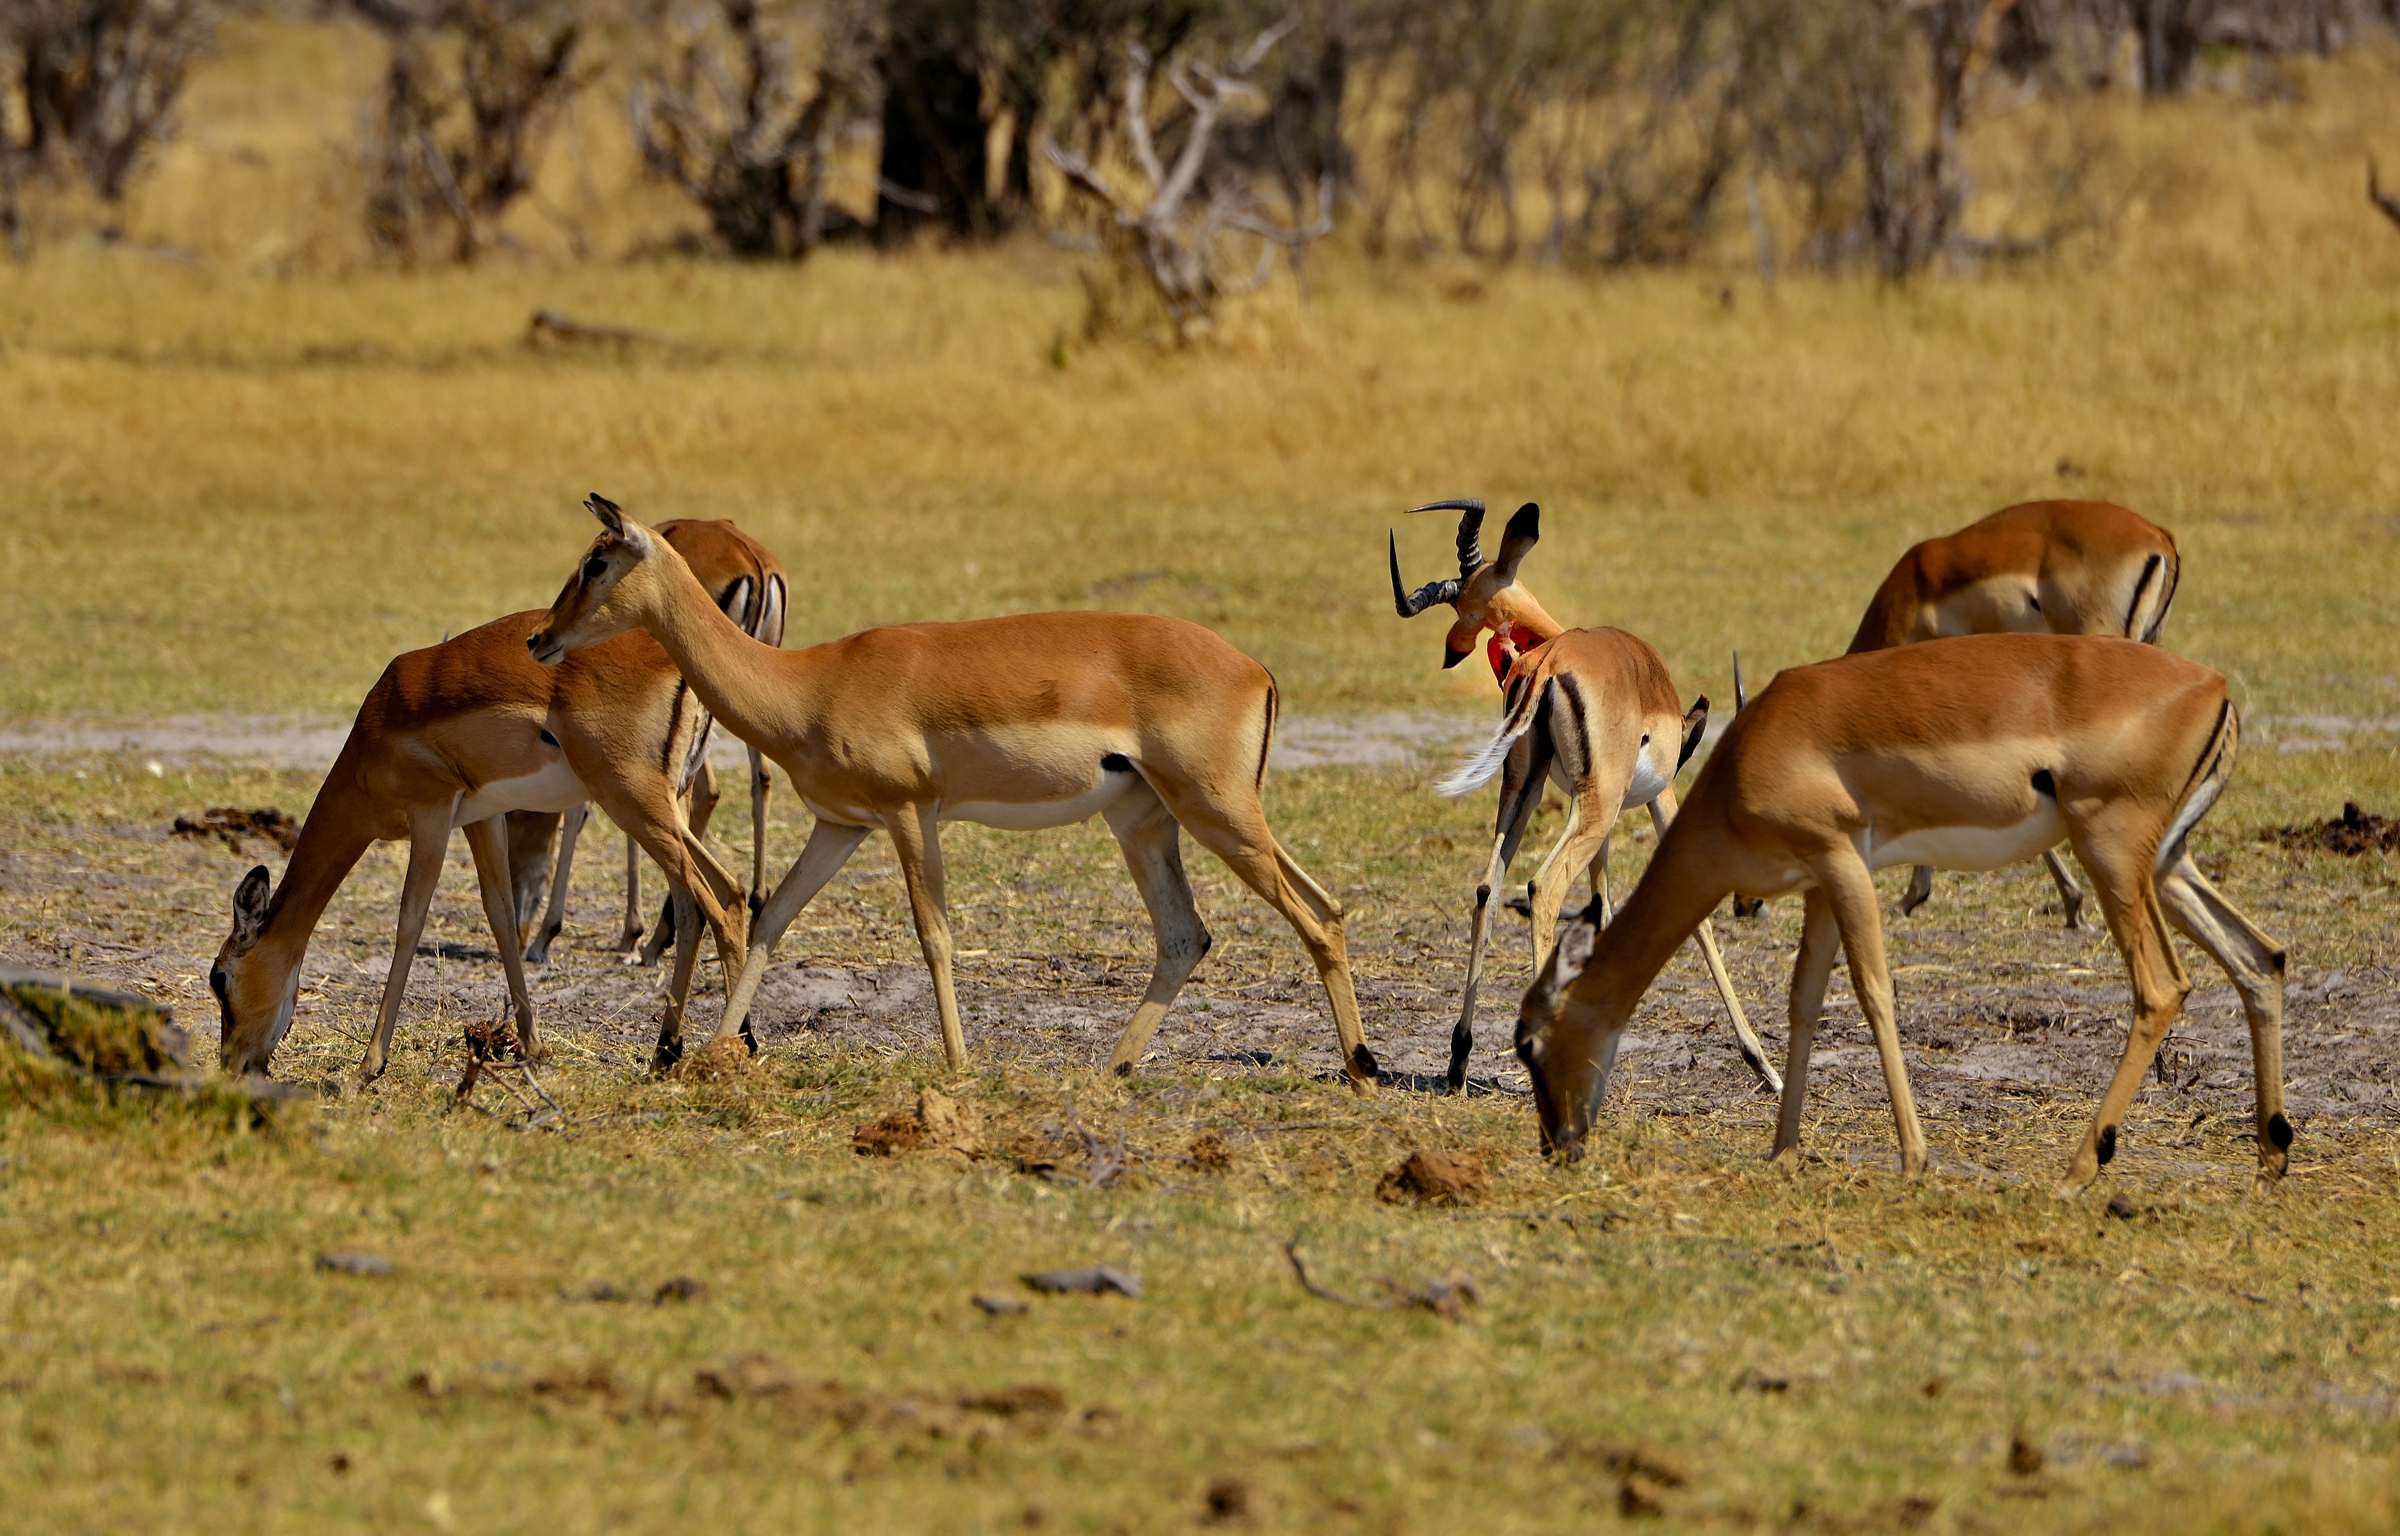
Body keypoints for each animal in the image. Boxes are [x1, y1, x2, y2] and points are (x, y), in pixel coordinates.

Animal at [209, 613, 747, 1080]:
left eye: (218, 978)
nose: (232, 1064)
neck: (376, 731)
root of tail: (677, 670)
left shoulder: (431, 814)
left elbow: (410, 923)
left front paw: (369, 1066)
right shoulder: (483, 818)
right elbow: (502, 914)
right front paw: (532, 1047)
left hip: (632, 800)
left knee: (719, 901)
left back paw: (731, 1051)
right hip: (667, 805)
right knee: (709, 901)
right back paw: (667, 1052)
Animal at [510, 517, 787, 965]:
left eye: (511, 817)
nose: (518, 931)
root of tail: (754, 561)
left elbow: (579, 812)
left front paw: (552, 935)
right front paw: (631, 932)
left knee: (708, 792)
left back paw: (663, 935)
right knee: (758, 778)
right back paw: (755, 906)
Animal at [1393, 499, 1780, 1094]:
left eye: (1463, 600)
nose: (1454, 649)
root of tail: (1550, 663)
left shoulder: (1591, 809)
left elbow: (1601, 905)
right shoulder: (1658, 797)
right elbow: (1694, 917)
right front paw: (1762, 1063)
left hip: (1528, 793)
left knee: (1488, 888)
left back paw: (1459, 1059)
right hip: (1595, 806)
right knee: (1542, 887)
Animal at [1513, 633, 2286, 1194]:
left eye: (1526, 1043)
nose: (1556, 1146)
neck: (1747, 760)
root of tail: (2213, 688)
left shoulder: (1843, 862)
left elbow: (1875, 993)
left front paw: (1914, 1160)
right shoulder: (1821, 882)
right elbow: (1803, 1001)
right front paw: (1783, 1153)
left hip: (2113, 854)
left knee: (2163, 987)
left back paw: (2076, 1173)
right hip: (2166, 865)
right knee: (2262, 958)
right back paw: (2270, 1159)